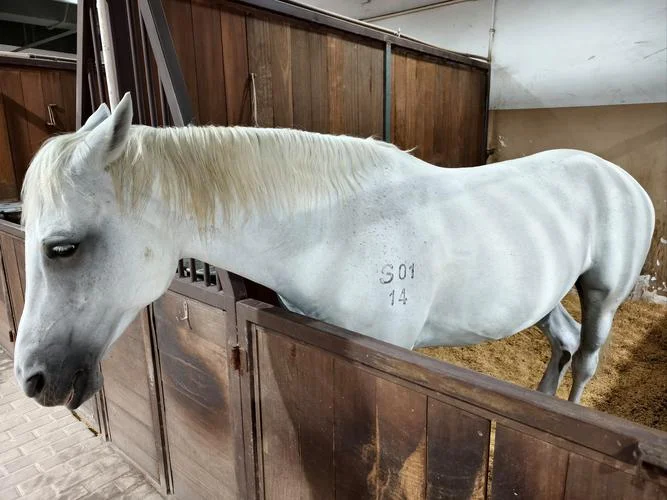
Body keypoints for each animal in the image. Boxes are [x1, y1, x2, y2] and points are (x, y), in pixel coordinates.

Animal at [14, 92, 654, 409]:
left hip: (602, 296)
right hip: (544, 296)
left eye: (62, 247)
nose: (33, 380)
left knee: (587, 356)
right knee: (563, 342)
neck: (334, 229)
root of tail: (626, 181)